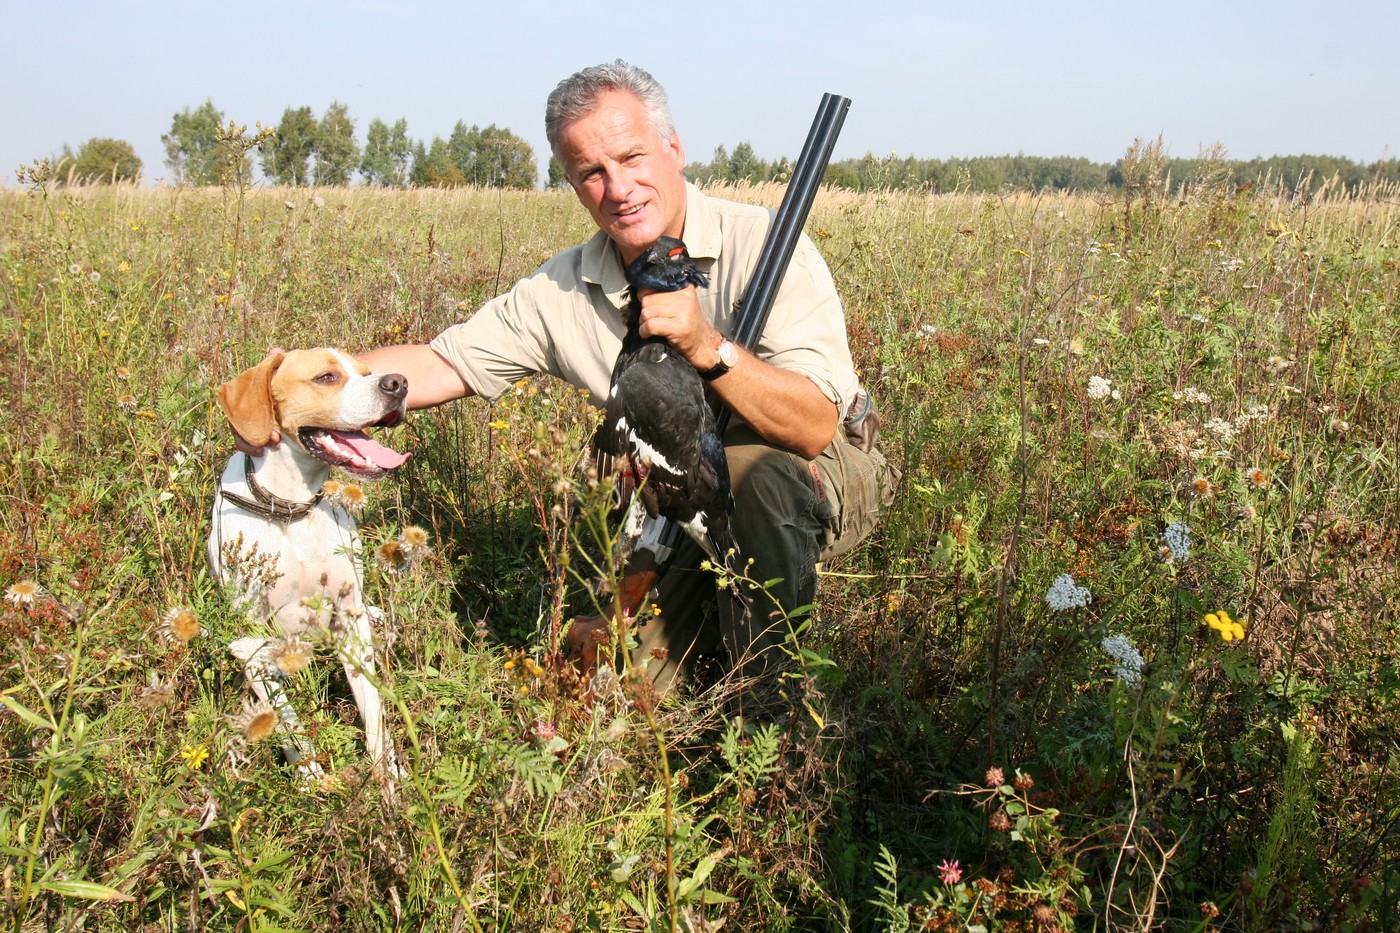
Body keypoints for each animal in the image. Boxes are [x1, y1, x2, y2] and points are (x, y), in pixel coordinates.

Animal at [205, 347, 408, 778]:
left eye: (365, 371)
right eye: (326, 378)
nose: (399, 383)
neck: (290, 510)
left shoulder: (348, 621)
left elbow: (373, 710)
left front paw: (388, 776)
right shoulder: (250, 640)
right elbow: (285, 719)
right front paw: (311, 775)